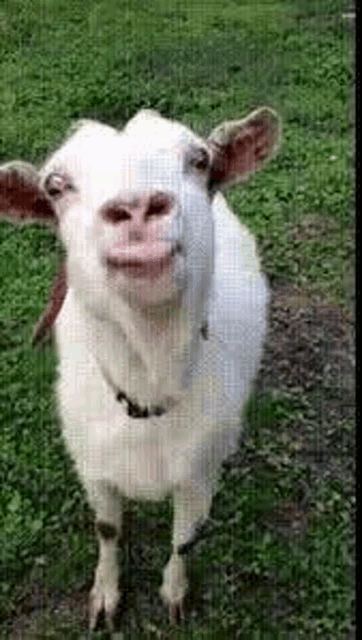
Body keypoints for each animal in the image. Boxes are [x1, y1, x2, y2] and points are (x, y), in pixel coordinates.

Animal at [0, 106, 280, 632]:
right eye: (55, 185)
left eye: (199, 160)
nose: (135, 207)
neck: (150, 388)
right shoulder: (93, 467)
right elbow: (108, 529)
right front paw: (105, 596)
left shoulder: (200, 473)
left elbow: (185, 539)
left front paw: (174, 593)